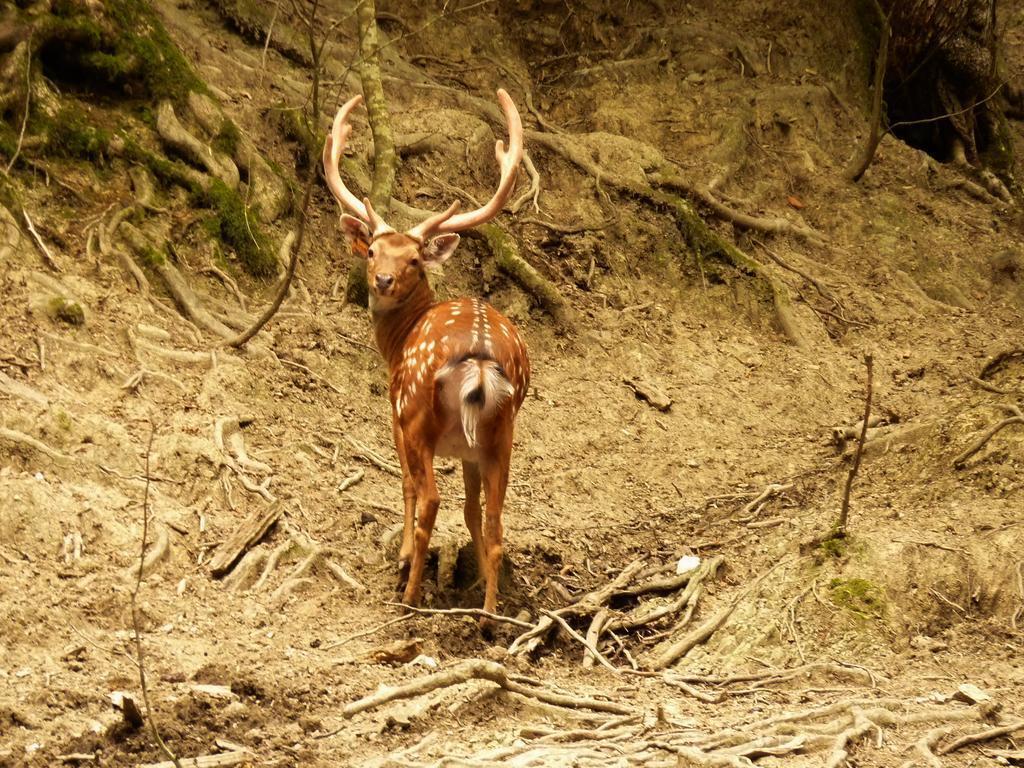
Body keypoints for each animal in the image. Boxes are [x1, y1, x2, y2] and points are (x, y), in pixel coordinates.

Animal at [323, 88, 532, 630]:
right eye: (372, 251)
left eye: (414, 259)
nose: (382, 280)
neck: (396, 342)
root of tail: (478, 358)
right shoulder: (471, 452)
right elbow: (474, 513)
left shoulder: (396, 416)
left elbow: (407, 488)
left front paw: (400, 560)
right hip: (501, 434)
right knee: (497, 521)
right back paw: (488, 615)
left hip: (419, 415)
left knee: (431, 500)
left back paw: (410, 594)